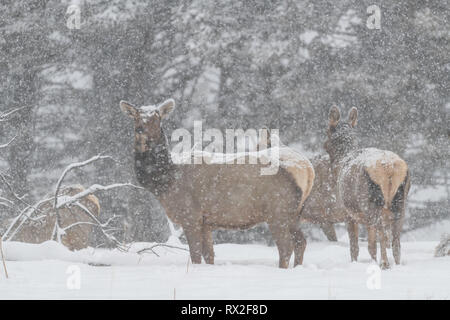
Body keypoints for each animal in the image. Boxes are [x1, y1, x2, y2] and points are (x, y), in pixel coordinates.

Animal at [120, 99, 316, 268]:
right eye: (136, 117)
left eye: (157, 118)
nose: (140, 131)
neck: (166, 182)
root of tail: (307, 169)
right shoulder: (206, 221)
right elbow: (209, 255)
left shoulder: (190, 215)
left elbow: (195, 255)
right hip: (295, 213)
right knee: (301, 242)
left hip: (278, 210)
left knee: (286, 246)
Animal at [324, 106, 412, 268]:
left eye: (328, 130)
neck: (342, 160)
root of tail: (390, 167)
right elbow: (371, 246)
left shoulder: (348, 212)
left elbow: (355, 246)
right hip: (400, 202)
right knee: (396, 239)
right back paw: (396, 264)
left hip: (371, 202)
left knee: (382, 234)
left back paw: (385, 264)